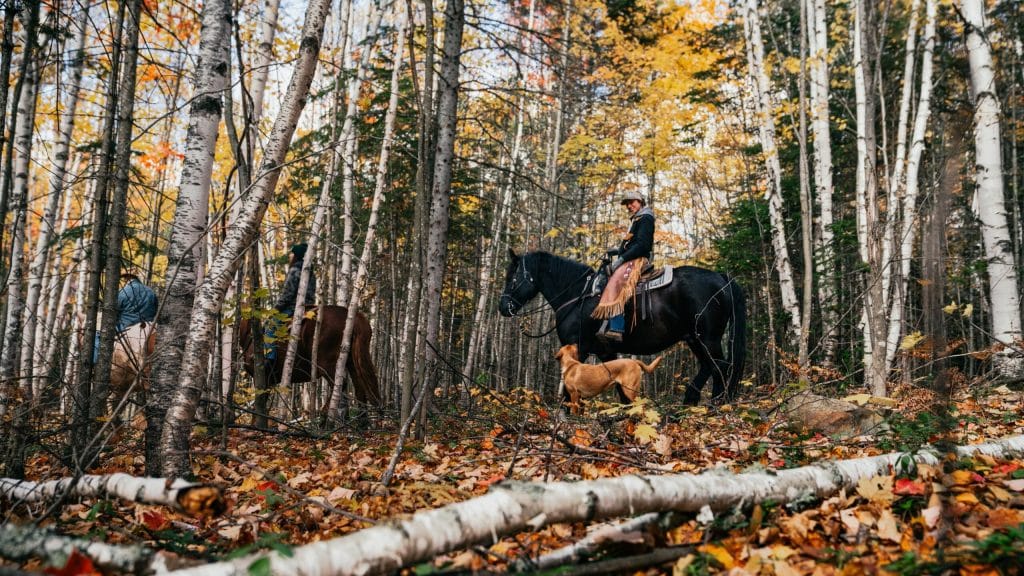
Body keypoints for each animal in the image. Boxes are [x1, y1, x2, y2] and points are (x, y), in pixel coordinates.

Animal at [238, 305, 381, 406]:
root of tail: (354, 316)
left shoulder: (262, 379)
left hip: (326, 363)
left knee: (340, 385)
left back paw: (324, 419)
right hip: (352, 362)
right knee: (360, 388)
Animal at [498, 249, 746, 406]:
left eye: (513, 278)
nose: (503, 307)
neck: (578, 296)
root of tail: (721, 278)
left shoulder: (579, 348)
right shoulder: (607, 352)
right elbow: (619, 386)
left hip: (708, 338)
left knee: (720, 367)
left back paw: (712, 404)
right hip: (694, 339)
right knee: (709, 366)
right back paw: (693, 402)